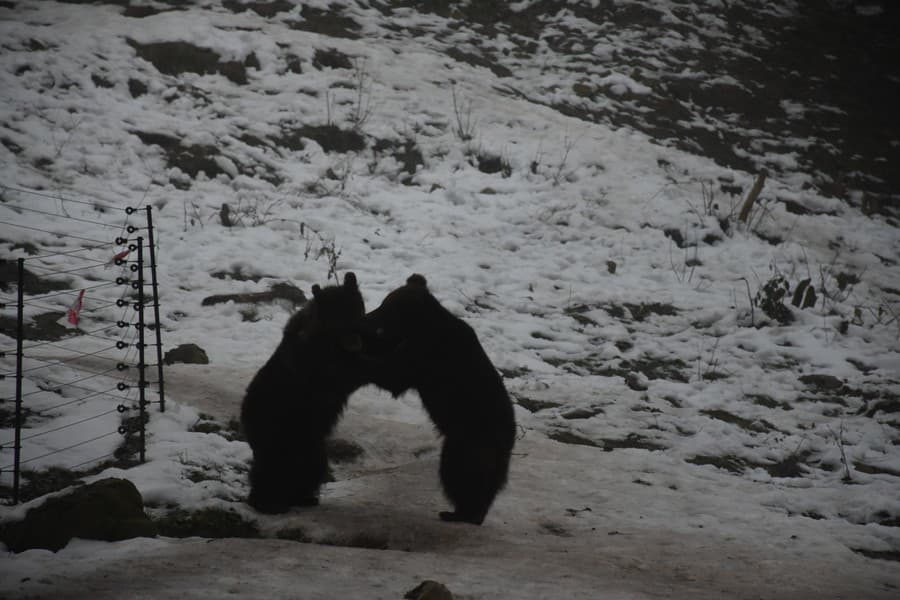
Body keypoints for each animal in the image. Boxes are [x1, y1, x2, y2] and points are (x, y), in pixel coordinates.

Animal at [241, 274, 368, 512]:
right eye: (337, 317)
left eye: (357, 309)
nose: (356, 340)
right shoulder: (322, 367)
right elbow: (345, 373)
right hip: (277, 442)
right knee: (268, 474)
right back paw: (267, 502)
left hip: (312, 448)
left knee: (307, 472)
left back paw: (303, 497)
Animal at [362, 274, 516, 524]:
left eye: (386, 306)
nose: (367, 318)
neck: (423, 327)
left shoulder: (427, 354)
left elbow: (393, 375)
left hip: (469, 439)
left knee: (460, 474)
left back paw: (461, 513)